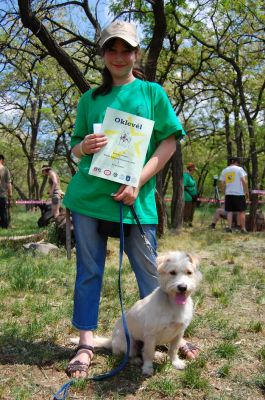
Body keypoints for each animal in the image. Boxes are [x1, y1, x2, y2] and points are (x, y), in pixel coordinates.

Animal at [71, 252, 199, 376]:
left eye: (189, 272)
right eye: (172, 272)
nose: (182, 287)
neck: (173, 304)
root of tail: (111, 341)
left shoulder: (179, 333)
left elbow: (173, 350)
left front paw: (175, 362)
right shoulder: (150, 335)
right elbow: (148, 354)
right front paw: (147, 368)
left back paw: (157, 354)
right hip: (129, 342)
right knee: (131, 354)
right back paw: (136, 360)